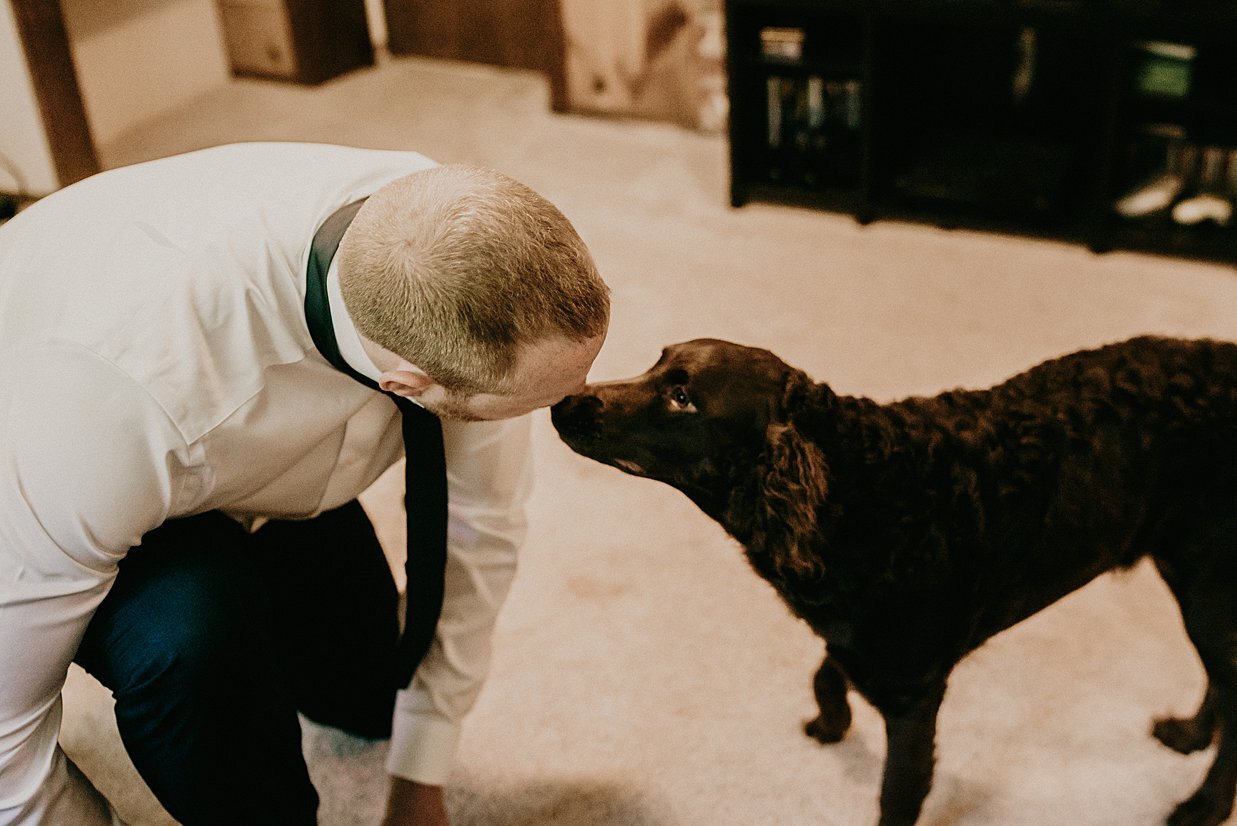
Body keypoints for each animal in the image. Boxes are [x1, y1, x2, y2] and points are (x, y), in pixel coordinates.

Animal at [551, 336, 1237, 826]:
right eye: (657, 363)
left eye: (683, 398)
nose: (563, 402)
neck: (863, 492)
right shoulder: (857, 633)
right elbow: (827, 670)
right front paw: (831, 722)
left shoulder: (914, 694)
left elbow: (898, 793)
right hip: (1192, 574)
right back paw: (1191, 735)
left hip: (1207, 584)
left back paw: (1203, 805)